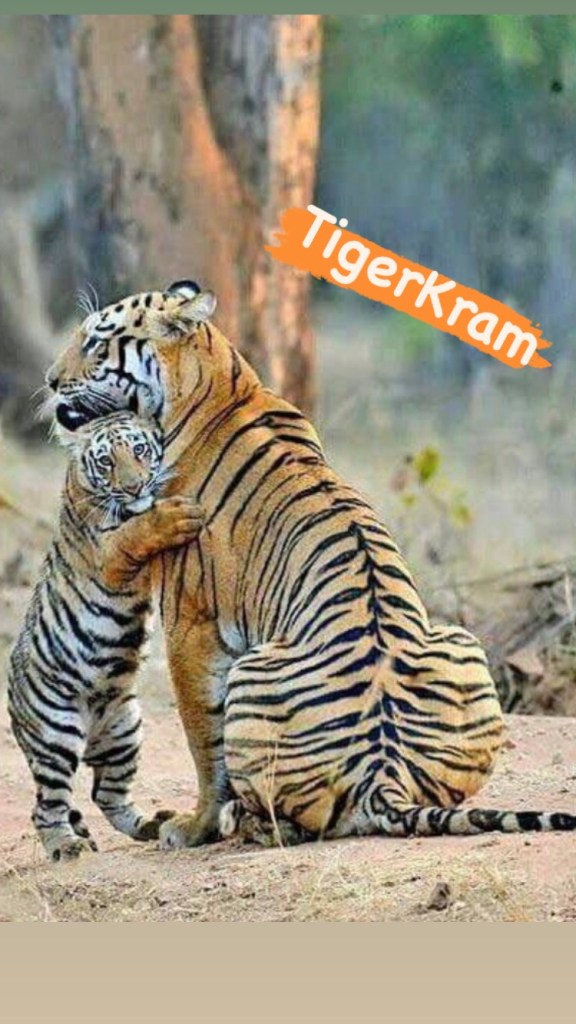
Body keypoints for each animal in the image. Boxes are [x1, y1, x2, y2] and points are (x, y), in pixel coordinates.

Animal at [8, 410, 204, 861]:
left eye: (140, 449)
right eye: (105, 461)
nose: (134, 486)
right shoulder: (110, 555)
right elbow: (138, 529)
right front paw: (174, 515)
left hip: (124, 730)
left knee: (108, 796)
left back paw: (153, 824)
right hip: (55, 734)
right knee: (47, 806)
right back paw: (66, 846)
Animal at [44, 280, 576, 847]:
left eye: (96, 342)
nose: (50, 380)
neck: (221, 381)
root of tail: (384, 776)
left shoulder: (190, 622)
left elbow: (203, 740)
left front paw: (193, 828)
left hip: (255, 670)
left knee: (286, 819)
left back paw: (242, 823)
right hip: (461, 644)